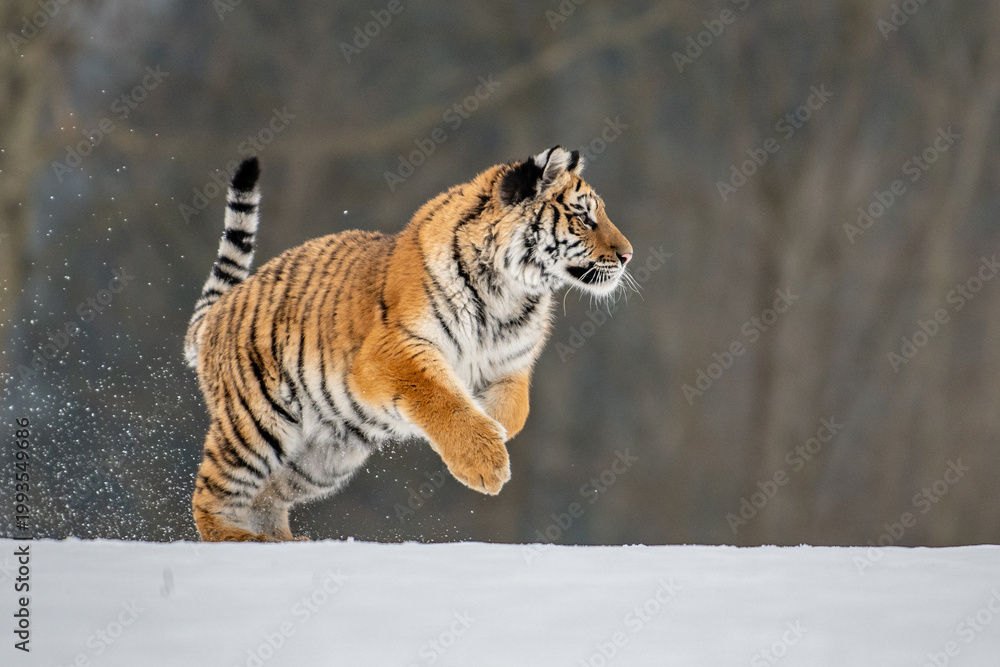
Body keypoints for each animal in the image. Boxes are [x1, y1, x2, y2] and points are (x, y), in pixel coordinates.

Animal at [184, 146, 633, 542]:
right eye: (583, 217)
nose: (628, 255)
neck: (509, 294)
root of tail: (220, 307)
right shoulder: (394, 349)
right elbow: (441, 397)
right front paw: (484, 463)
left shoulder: (510, 367)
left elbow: (513, 412)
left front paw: (496, 430)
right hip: (256, 425)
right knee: (211, 492)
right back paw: (239, 539)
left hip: (324, 458)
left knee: (266, 497)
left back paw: (284, 542)